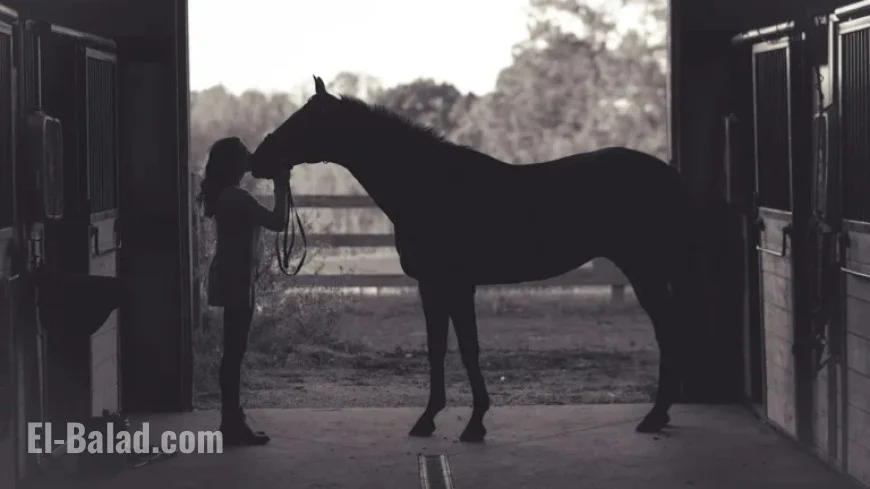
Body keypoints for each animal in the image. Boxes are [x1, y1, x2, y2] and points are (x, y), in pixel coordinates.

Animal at [250, 75, 698, 443]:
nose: (258, 159)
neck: (429, 185)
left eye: (303, 121)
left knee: (669, 330)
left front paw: (473, 422)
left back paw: (655, 416)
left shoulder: (454, 284)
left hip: (645, 269)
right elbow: (438, 347)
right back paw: (660, 414)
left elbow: (466, 348)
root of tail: (667, 172)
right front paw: (431, 419)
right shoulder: (433, 287)